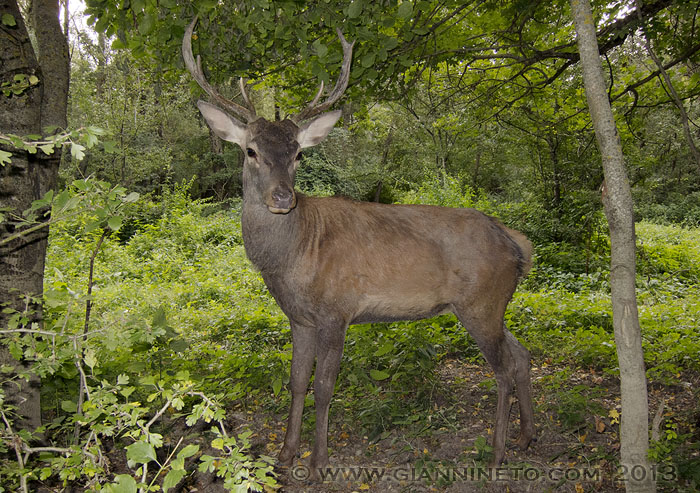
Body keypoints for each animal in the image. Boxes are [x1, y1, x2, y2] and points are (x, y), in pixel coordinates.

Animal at [182, 18, 536, 476]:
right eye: (250, 150)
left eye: (298, 154)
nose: (282, 197)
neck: (295, 258)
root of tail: (516, 242)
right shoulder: (300, 318)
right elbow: (297, 382)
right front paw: (285, 454)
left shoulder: (337, 310)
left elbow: (325, 387)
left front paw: (318, 462)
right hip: (492, 303)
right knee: (523, 354)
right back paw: (528, 436)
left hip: (480, 302)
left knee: (504, 369)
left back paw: (496, 453)